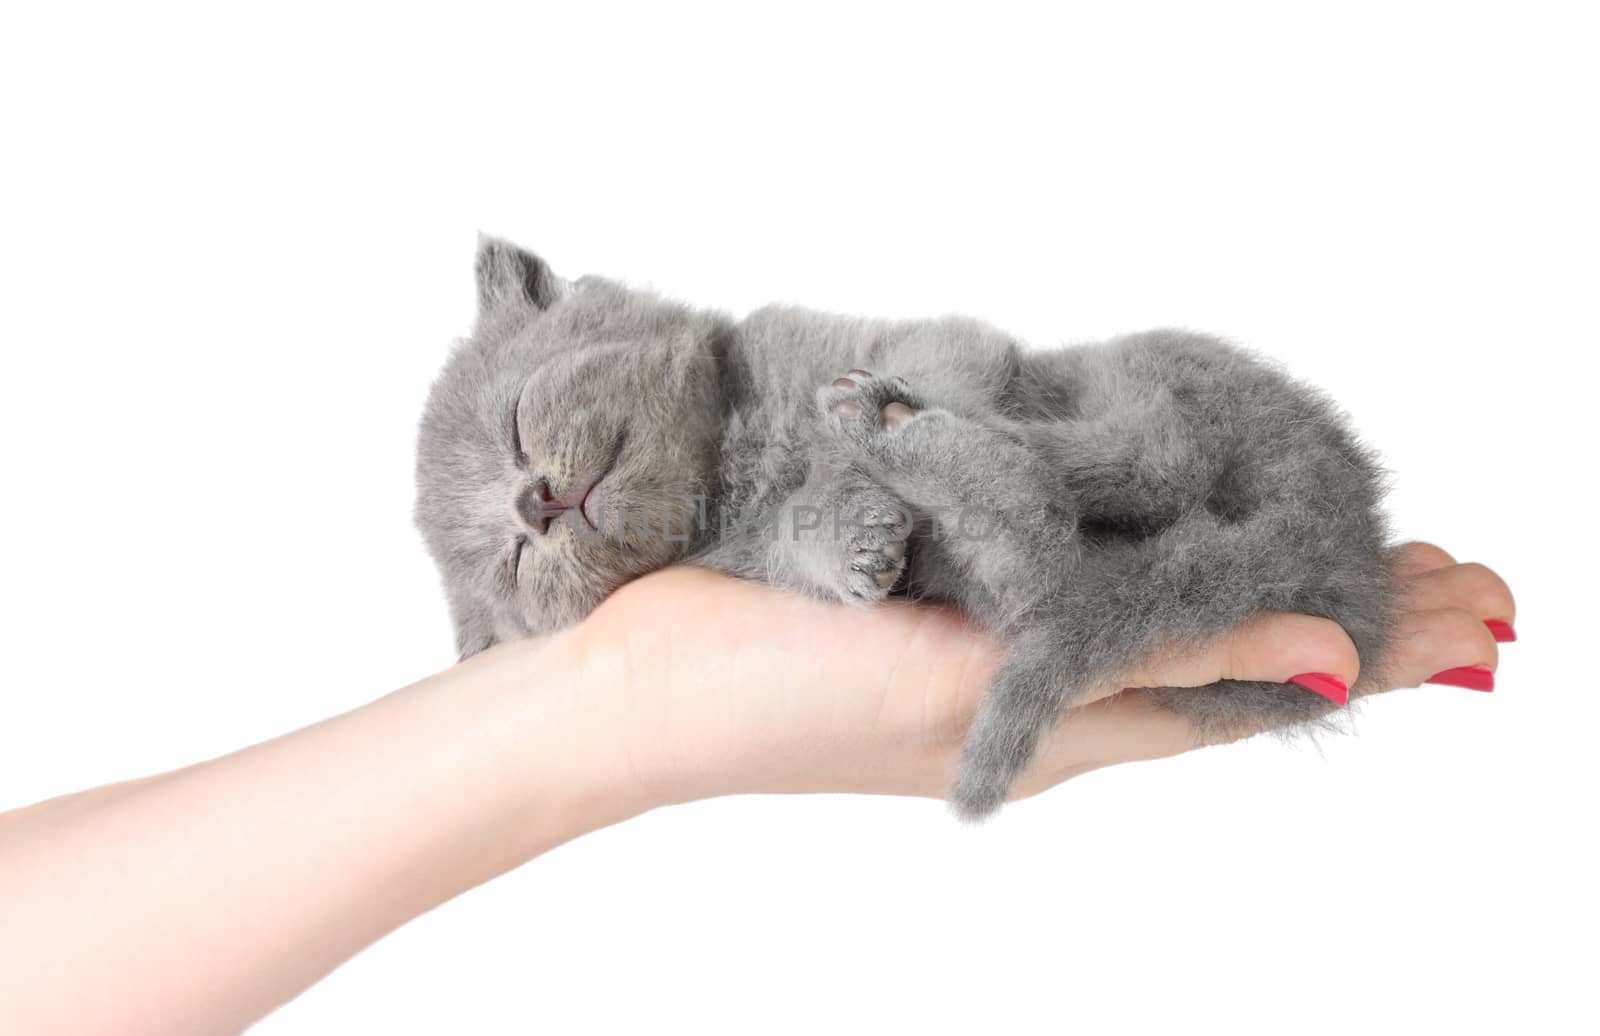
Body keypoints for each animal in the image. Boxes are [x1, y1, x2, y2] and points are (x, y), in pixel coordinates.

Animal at [419, 236, 1395, 818]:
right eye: (512, 563)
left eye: (516, 422)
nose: (535, 503)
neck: (732, 451)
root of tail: (1345, 543)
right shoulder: (746, 559)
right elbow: (802, 545)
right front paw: (856, 539)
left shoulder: (927, 342)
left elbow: (947, 362)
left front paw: (866, 441)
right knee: (1041, 556)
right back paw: (904, 441)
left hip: (1157, 371)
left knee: (1141, 456)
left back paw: (896, 424)